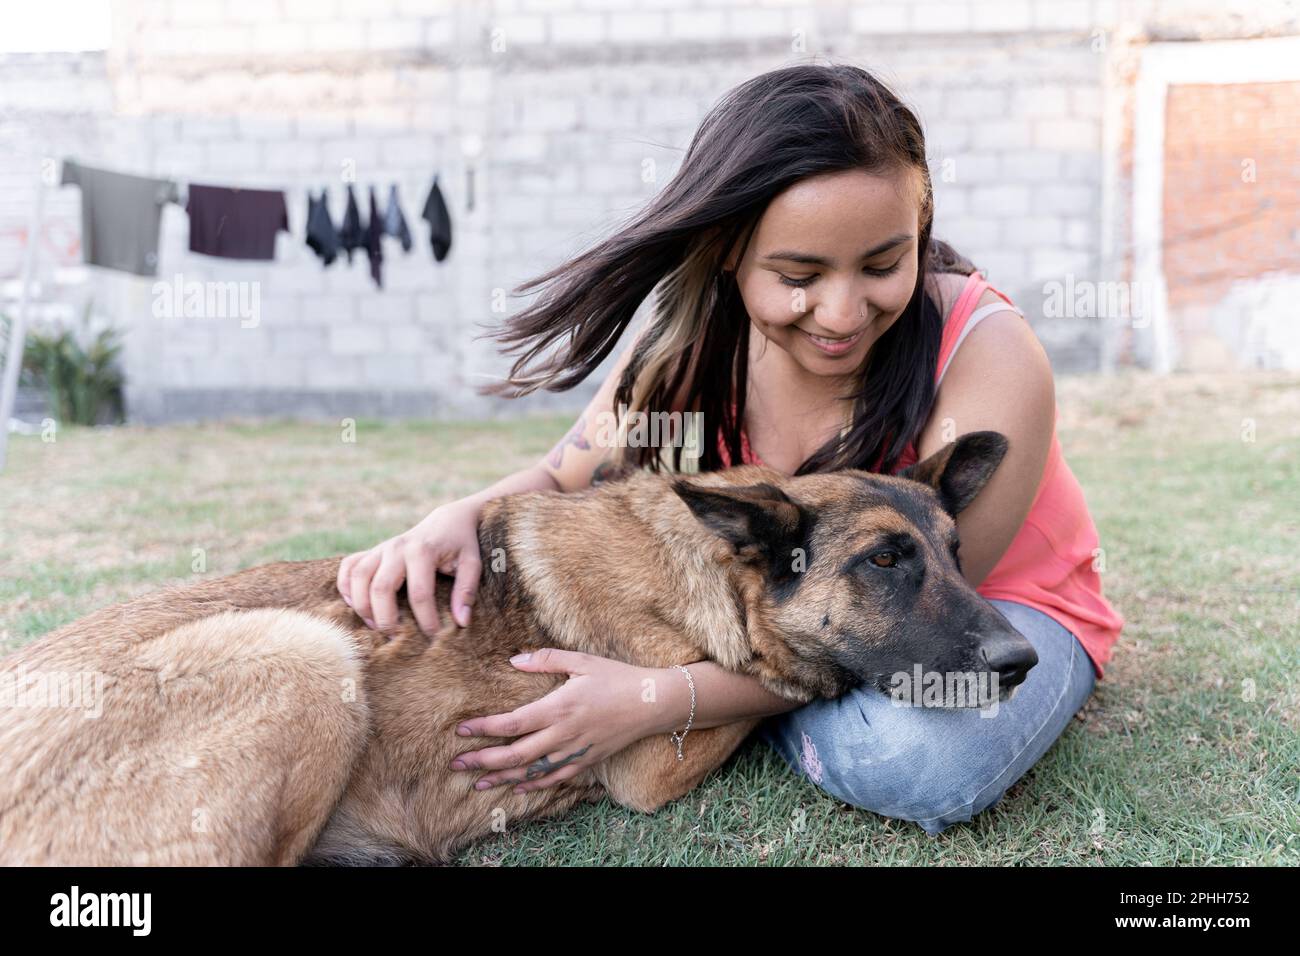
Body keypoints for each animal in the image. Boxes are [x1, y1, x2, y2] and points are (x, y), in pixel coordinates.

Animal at [0, 429, 1034, 863]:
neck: (704, 573)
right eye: (886, 560)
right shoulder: (656, 761)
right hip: (303, 656)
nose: (1021, 663)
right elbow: (772, 693)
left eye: (954, 553)